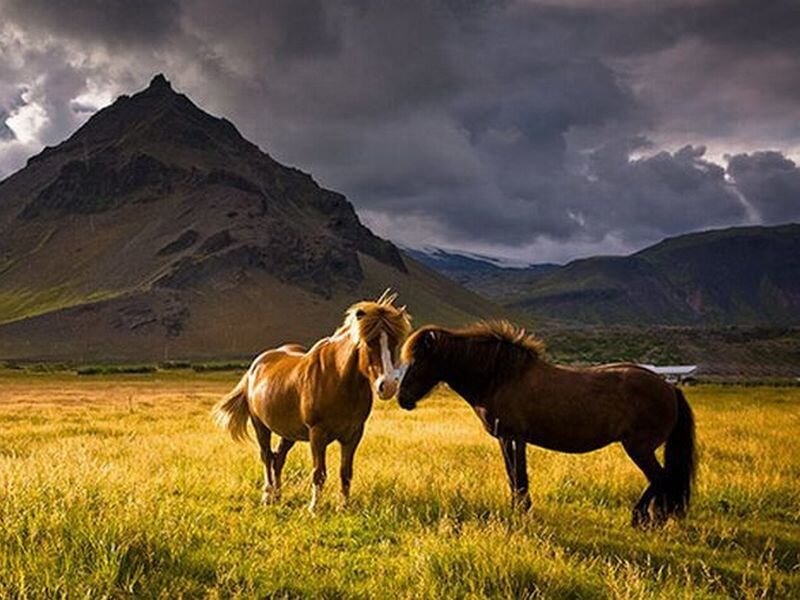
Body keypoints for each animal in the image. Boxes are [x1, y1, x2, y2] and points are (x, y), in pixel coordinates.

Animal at [213, 290, 412, 511]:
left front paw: (344, 507)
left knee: (278, 458)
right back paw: (267, 496)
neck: (339, 379)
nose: (389, 385)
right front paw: (314, 508)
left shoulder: (353, 434)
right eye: (369, 342)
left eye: (394, 342)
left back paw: (278, 495)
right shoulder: (317, 434)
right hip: (260, 426)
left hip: (288, 432)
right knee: (266, 457)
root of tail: (254, 367)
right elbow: (319, 473)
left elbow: (345, 472)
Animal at [397, 321, 696, 527]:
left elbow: (519, 476)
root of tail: (669, 388)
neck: (500, 377)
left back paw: (640, 518)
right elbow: (513, 475)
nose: (402, 398)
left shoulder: (513, 437)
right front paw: (519, 509)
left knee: (660, 478)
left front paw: (523, 511)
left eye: (418, 360)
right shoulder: (506, 439)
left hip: (639, 448)